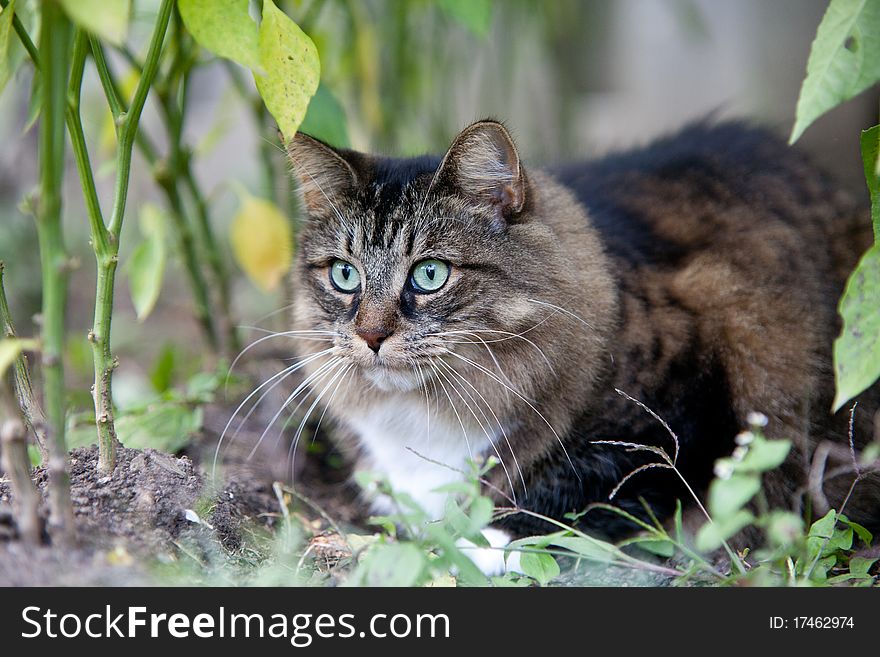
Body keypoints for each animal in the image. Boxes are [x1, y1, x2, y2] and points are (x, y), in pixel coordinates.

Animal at [286, 120, 876, 572]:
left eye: (429, 274)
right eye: (344, 275)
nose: (371, 335)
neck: (421, 417)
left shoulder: (694, 409)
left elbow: (587, 481)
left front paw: (485, 543)